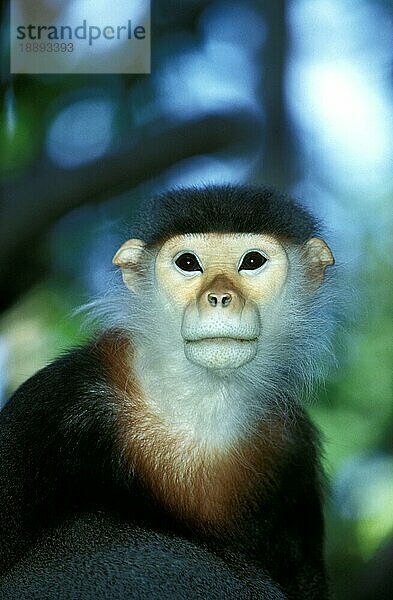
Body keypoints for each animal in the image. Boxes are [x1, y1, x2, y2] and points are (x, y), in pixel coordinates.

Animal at [0, 185, 334, 596]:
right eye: (188, 263)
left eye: (252, 261)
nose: (219, 298)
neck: (200, 402)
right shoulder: (59, 400)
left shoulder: (290, 445)